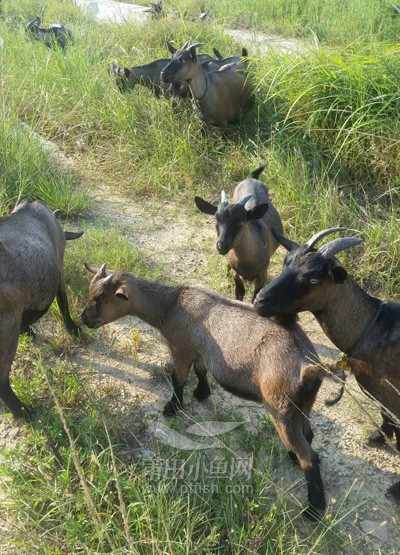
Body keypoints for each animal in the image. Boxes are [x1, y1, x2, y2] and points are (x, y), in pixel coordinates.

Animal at [0, 202, 82, 420]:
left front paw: (28, 331)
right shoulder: (59, 272)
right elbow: (63, 303)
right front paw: (73, 328)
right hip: (6, 332)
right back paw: (23, 412)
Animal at [81, 262, 344, 520]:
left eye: (101, 298)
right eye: (90, 293)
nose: (84, 320)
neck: (171, 305)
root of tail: (309, 368)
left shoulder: (181, 349)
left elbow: (178, 380)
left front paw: (172, 408)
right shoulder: (200, 351)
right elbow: (200, 371)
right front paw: (201, 393)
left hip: (281, 409)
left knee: (310, 457)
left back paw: (313, 509)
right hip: (302, 405)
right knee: (308, 434)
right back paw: (292, 457)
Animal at [194, 164, 282, 302]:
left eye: (241, 224)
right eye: (216, 222)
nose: (221, 246)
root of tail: (251, 178)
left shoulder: (262, 275)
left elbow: (254, 298)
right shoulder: (236, 273)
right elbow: (239, 293)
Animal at [253, 228, 400, 506]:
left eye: (313, 278)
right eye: (285, 262)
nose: (260, 300)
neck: (375, 326)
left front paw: (396, 487)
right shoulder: (385, 397)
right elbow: (387, 417)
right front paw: (377, 438)